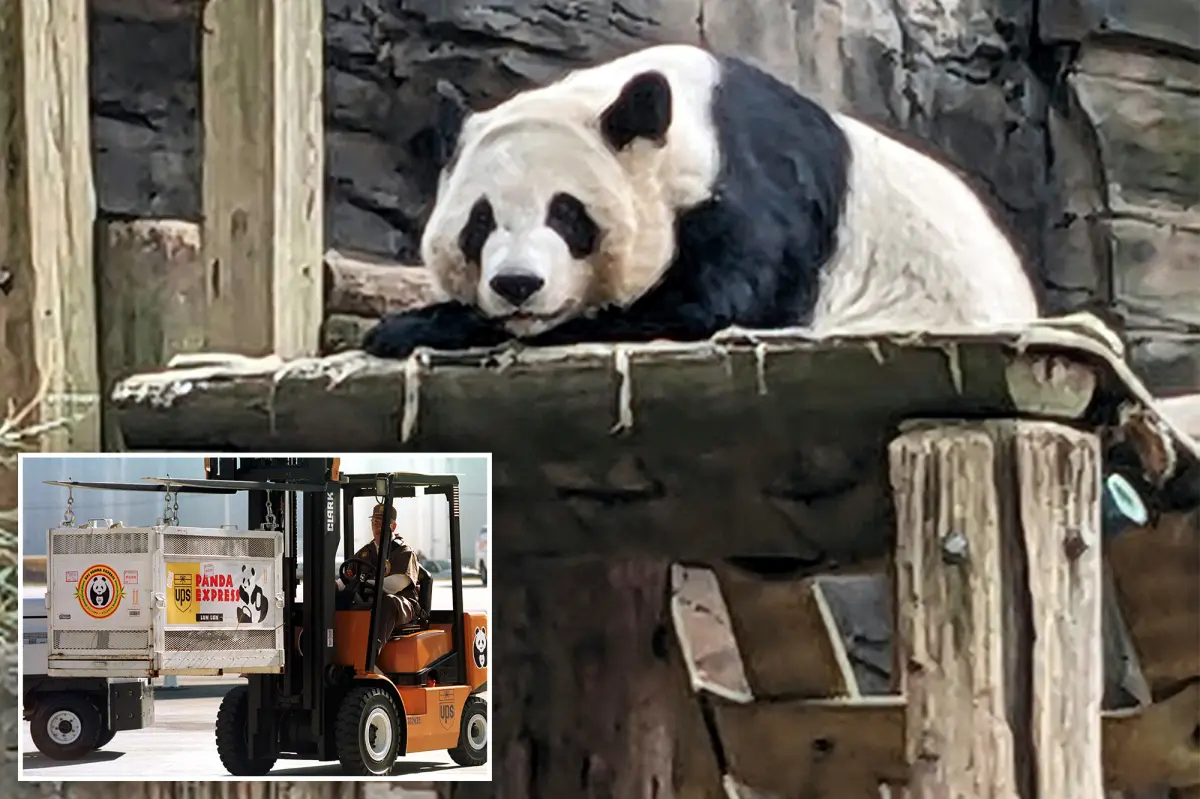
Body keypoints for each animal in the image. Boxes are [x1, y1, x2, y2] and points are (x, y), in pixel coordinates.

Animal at [362, 44, 1040, 358]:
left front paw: (413, 326)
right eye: (479, 222)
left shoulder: (756, 195)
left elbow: (701, 308)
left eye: (568, 214)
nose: (518, 285)